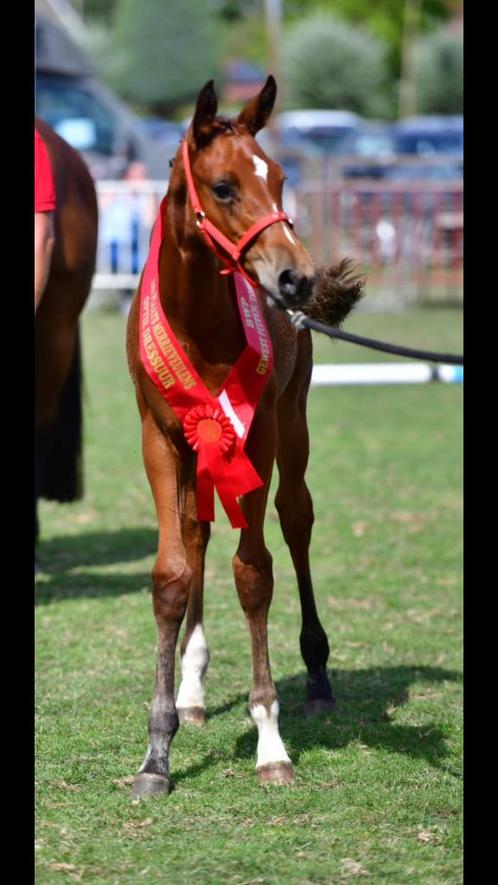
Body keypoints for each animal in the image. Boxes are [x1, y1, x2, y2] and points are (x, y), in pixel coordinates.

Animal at [126, 77, 362, 796]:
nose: (297, 278)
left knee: (296, 519)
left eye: (280, 178)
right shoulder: (160, 439)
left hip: (293, 421)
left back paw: (317, 677)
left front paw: (270, 743)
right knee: (199, 532)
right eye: (224, 187)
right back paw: (195, 688)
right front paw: (157, 750)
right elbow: (172, 573)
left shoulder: (254, 440)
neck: (201, 324)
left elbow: (254, 573)